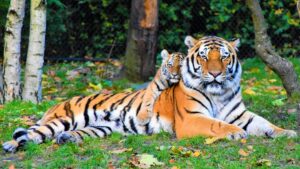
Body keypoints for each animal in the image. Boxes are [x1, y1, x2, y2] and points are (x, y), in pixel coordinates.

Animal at [2, 35, 298, 152]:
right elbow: (217, 124)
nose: (215, 74)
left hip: (101, 128)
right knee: (32, 133)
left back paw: (67, 139)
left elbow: (265, 123)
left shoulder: (240, 113)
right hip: (62, 119)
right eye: (204, 57)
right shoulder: (191, 118)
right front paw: (235, 133)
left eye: (224, 57)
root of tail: (59, 103)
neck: (218, 92)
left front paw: (288, 132)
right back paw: (12, 145)